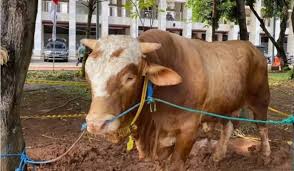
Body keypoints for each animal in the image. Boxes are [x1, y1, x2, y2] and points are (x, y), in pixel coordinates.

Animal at [81, 29, 270, 171]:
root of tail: (252, 47)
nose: (96, 124)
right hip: (226, 104)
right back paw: (218, 155)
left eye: (129, 77)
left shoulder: (188, 130)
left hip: (260, 99)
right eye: (89, 74)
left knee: (262, 127)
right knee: (228, 126)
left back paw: (266, 155)